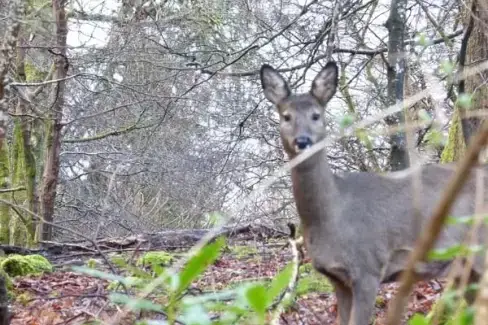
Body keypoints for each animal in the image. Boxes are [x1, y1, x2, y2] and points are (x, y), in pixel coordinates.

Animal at [260, 60, 488, 324]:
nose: (303, 141)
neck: (333, 214)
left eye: (316, 115)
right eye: (286, 116)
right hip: (464, 267)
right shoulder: (337, 278)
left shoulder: (368, 268)